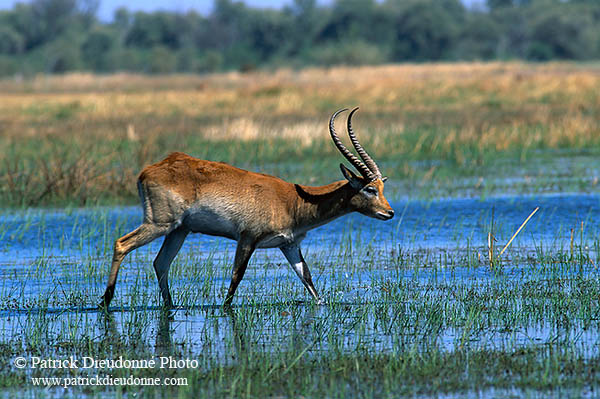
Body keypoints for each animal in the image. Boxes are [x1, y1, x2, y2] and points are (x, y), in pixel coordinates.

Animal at [99, 108, 394, 310]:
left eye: (382, 186)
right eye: (369, 189)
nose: (389, 213)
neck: (294, 201)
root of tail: (149, 170)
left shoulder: (289, 244)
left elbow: (308, 279)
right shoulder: (248, 237)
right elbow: (236, 278)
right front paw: (225, 308)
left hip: (179, 231)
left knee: (160, 263)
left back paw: (170, 306)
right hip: (159, 224)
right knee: (121, 244)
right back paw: (105, 301)